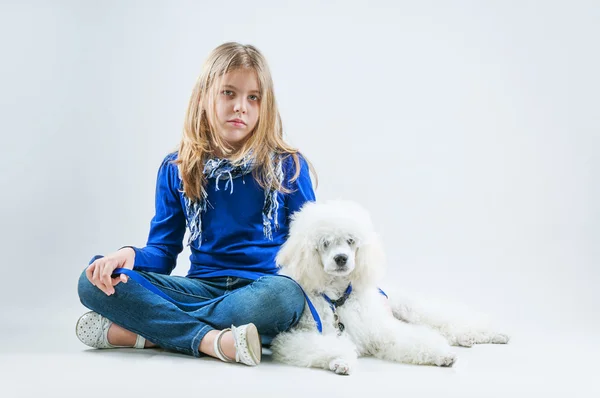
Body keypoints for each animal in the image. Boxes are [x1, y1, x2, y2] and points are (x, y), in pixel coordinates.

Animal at [270, 201, 508, 374]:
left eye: (350, 241)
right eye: (325, 243)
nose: (341, 259)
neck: (338, 297)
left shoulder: (381, 329)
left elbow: (414, 339)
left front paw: (441, 355)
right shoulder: (295, 337)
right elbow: (324, 346)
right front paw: (340, 360)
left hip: (412, 309)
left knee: (449, 322)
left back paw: (493, 334)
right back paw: (468, 339)